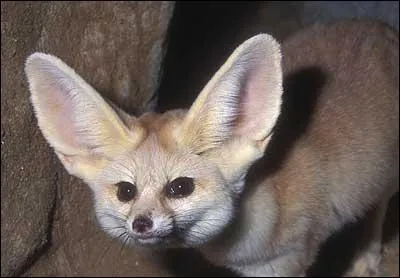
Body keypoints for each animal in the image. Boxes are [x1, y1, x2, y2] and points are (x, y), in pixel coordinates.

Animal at [25, 19, 396, 276]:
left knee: (381, 203)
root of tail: (380, 26)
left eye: (180, 187)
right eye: (125, 192)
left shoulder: (288, 261)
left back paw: (367, 255)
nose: (141, 223)